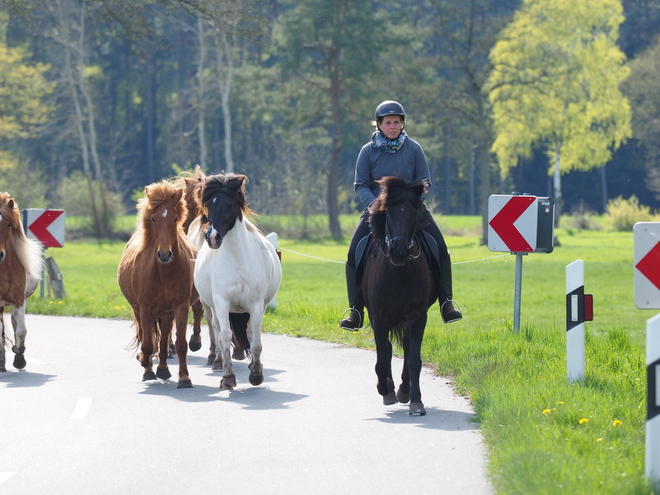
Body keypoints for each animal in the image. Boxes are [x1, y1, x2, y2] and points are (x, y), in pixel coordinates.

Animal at [118, 180, 199, 390]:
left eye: (175, 218)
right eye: (153, 219)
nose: (164, 254)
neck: (164, 271)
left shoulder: (180, 307)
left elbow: (180, 344)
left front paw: (184, 379)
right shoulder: (146, 307)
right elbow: (147, 344)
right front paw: (145, 365)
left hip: (166, 313)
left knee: (163, 340)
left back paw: (162, 369)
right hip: (140, 310)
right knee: (149, 338)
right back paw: (149, 368)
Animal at [193, 174, 282, 392]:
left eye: (229, 205)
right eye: (208, 204)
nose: (213, 238)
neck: (238, 261)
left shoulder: (256, 305)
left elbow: (255, 341)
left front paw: (256, 374)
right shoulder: (222, 303)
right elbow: (225, 336)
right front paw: (227, 378)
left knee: (249, 333)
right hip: (212, 306)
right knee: (216, 329)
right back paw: (217, 360)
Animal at [360, 176, 438, 416]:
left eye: (414, 214)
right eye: (388, 213)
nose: (399, 252)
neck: (398, 273)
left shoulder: (417, 317)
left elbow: (414, 359)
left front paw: (415, 401)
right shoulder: (378, 318)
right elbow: (382, 359)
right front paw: (384, 390)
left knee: (404, 346)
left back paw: (403, 390)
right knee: (386, 349)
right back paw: (389, 389)